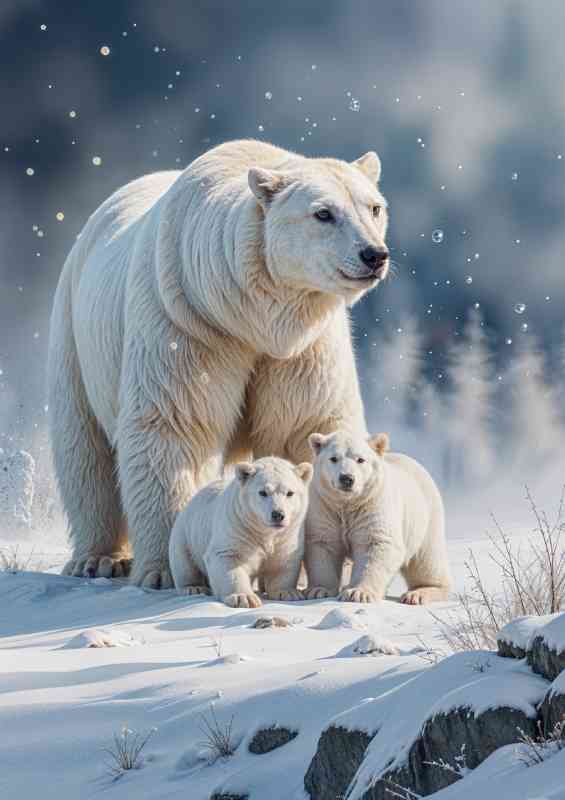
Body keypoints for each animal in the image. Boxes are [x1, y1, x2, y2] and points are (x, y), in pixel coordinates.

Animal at [47, 139, 389, 588]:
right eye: (323, 213)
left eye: (374, 207)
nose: (374, 254)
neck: (246, 315)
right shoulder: (188, 323)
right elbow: (175, 427)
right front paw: (166, 568)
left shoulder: (301, 349)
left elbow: (301, 423)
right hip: (75, 332)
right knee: (84, 450)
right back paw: (99, 558)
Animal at [168, 457, 312, 608]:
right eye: (263, 492)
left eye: (290, 493)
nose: (278, 514)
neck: (264, 531)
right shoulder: (237, 526)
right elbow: (227, 558)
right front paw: (244, 598)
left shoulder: (288, 535)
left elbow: (283, 560)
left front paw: (288, 593)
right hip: (185, 533)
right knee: (184, 563)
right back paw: (193, 587)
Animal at [304, 430, 451, 604]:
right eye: (333, 458)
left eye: (360, 459)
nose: (347, 478)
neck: (348, 503)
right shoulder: (325, 507)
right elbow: (323, 544)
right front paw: (319, 590)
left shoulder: (373, 505)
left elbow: (377, 544)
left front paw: (357, 593)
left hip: (426, 516)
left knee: (426, 559)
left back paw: (418, 593)